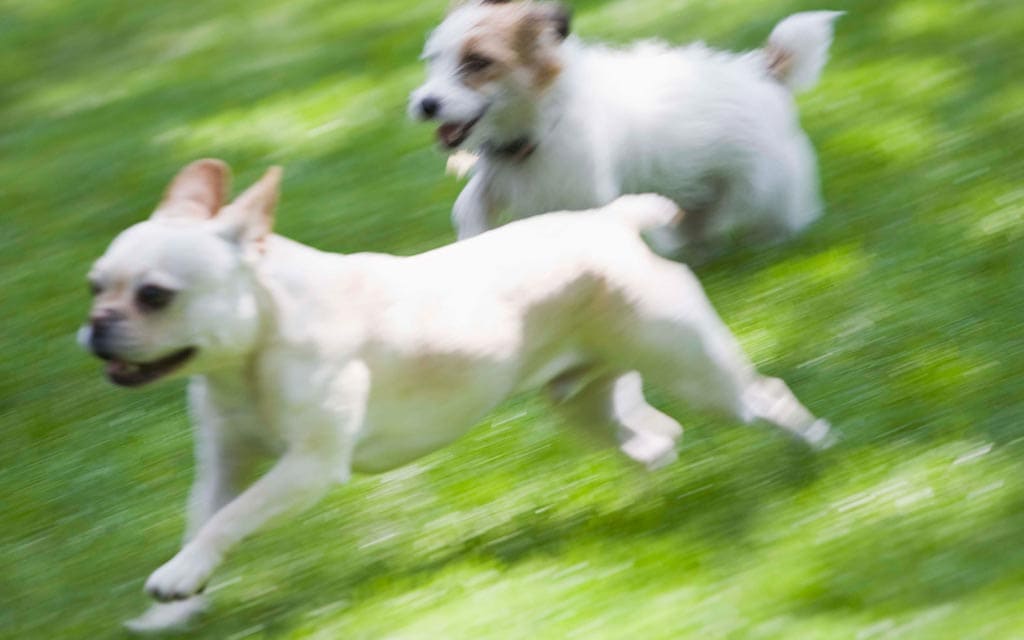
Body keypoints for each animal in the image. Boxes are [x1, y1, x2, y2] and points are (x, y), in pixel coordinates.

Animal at [79, 158, 831, 630]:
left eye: (155, 296)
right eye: (95, 285)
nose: (99, 324)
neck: (258, 335)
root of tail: (611, 223)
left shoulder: (308, 467)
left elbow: (230, 520)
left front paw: (179, 581)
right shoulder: (225, 460)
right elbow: (203, 518)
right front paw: (176, 604)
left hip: (699, 373)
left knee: (765, 397)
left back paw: (819, 453)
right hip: (584, 402)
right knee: (653, 437)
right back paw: (652, 497)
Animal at [407, 1, 839, 251]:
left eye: (478, 62)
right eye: (434, 60)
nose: (426, 104)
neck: (540, 125)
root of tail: (762, 70)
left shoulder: (581, 198)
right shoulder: (497, 177)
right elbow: (470, 206)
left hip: (763, 181)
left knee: (775, 208)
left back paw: (774, 240)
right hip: (699, 193)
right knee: (695, 220)